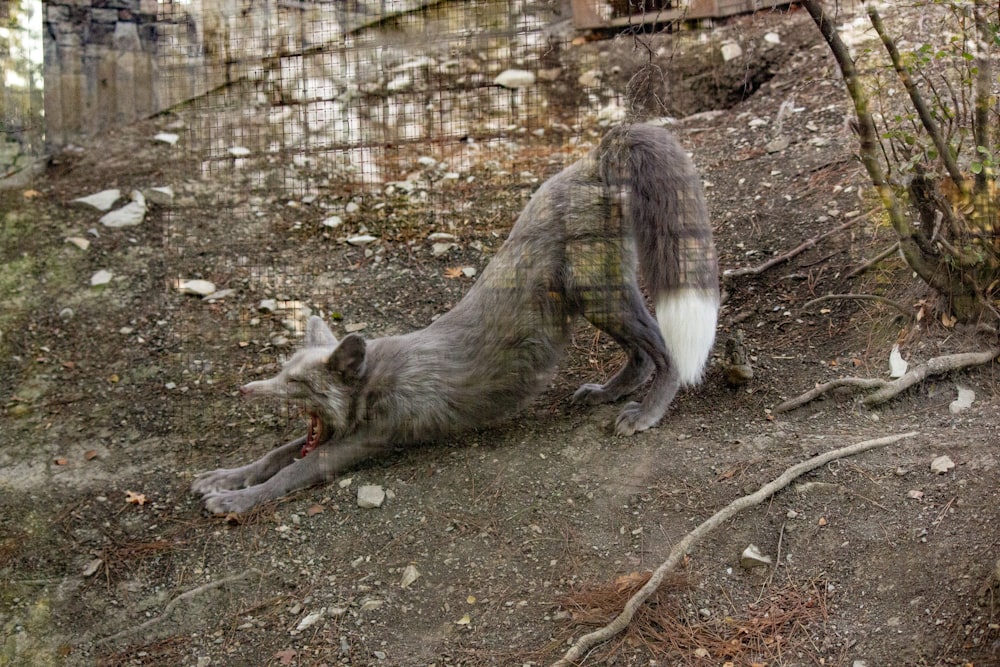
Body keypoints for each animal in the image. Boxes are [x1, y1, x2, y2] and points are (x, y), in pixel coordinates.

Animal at [189, 122, 720, 516]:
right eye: (282, 372)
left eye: (297, 383)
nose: (245, 391)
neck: (375, 381)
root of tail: (592, 156)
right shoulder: (332, 433)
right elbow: (275, 454)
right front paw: (224, 478)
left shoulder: (366, 441)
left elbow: (293, 470)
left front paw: (236, 501)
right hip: (596, 300)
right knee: (640, 357)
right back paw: (608, 394)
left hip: (598, 295)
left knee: (664, 351)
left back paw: (647, 413)